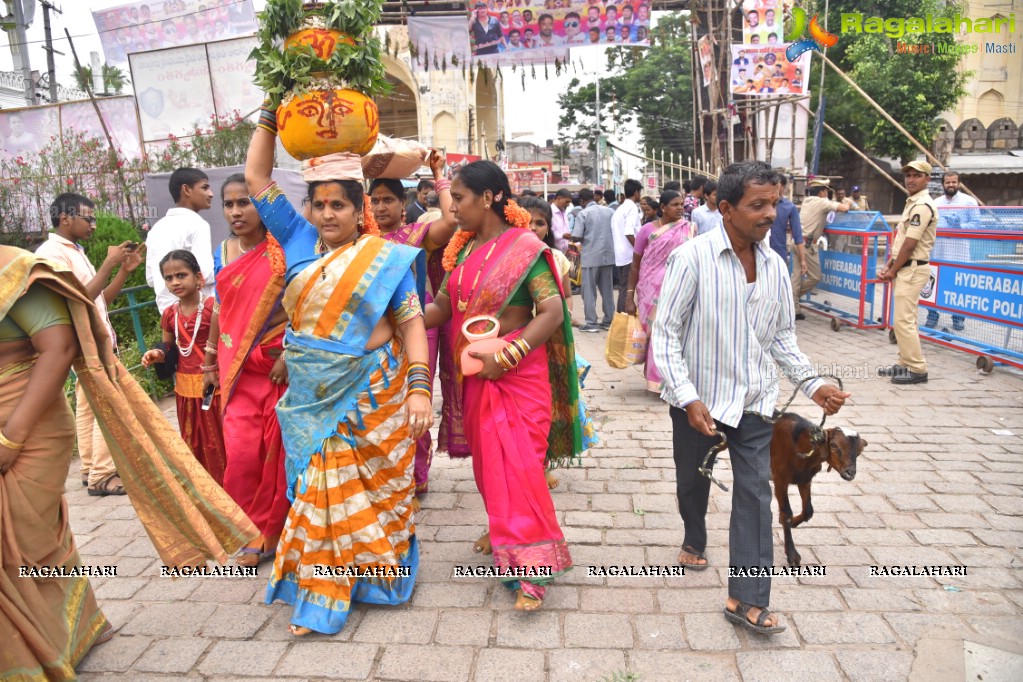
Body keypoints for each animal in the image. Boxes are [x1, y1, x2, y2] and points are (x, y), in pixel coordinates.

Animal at [769, 413, 867, 568]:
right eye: (833, 445)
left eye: (859, 452)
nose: (850, 473)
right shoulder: (779, 478)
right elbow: (787, 513)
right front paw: (792, 555)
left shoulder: (805, 479)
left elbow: (808, 510)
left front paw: (793, 523)